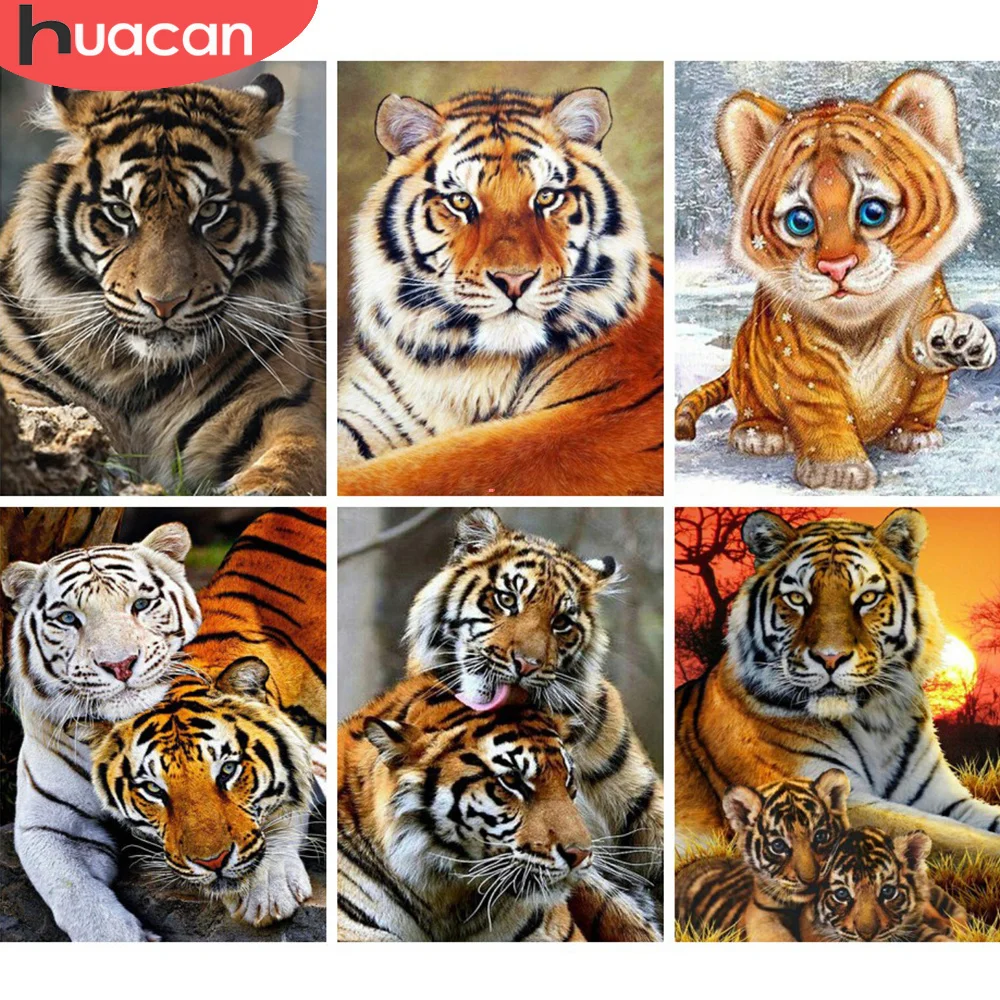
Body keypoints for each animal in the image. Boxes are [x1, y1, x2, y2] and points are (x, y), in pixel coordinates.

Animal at [0, 74, 326, 496]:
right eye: (120, 212)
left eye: (210, 211)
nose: (164, 304)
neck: (131, 371)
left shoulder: (281, 408)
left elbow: (293, 461)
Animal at [337, 86, 663, 496]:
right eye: (461, 201)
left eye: (546, 197)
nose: (514, 281)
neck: (460, 367)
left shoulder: (600, 419)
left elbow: (438, 468)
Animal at [674, 69, 996, 490]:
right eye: (800, 221)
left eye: (873, 212)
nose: (836, 268)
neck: (859, 326)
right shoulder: (798, 359)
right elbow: (820, 410)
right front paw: (838, 470)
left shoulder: (924, 303)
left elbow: (924, 337)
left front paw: (962, 339)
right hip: (746, 360)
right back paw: (757, 433)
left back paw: (916, 434)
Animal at [675, 508, 1000, 860]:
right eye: (797, 599)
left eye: (867, 597)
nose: (830, 658)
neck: (877, 721)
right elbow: (956, 837)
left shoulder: (944, 798)